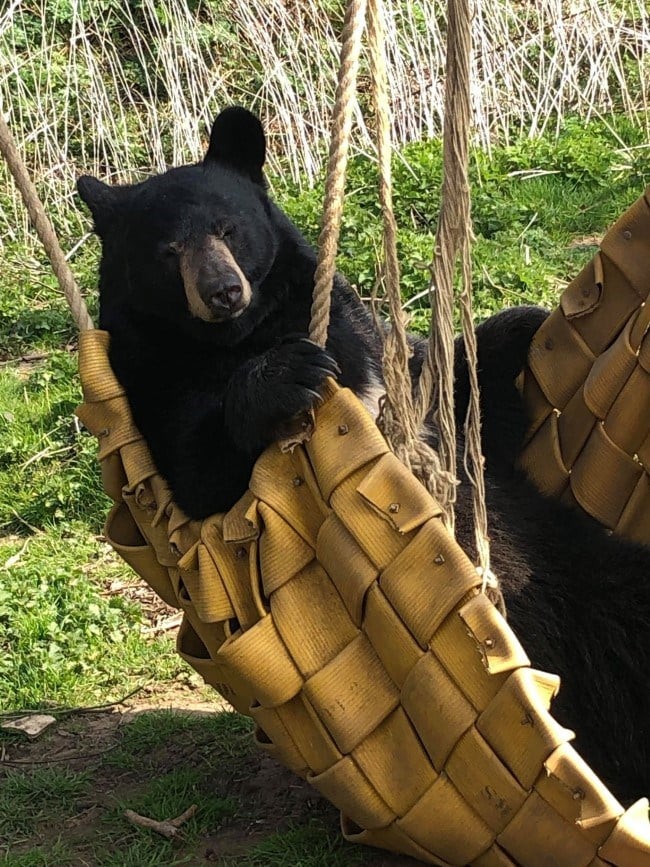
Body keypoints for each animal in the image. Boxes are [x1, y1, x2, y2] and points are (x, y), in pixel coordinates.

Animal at [79, 107, 648, 808]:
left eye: (228, 228)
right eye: (166, 252)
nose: (222, 291)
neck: (236, 338)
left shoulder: (374, 350)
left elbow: (457, 396)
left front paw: (521, 325)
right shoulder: (152, 385)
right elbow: (199, 471)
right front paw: (286, 374)